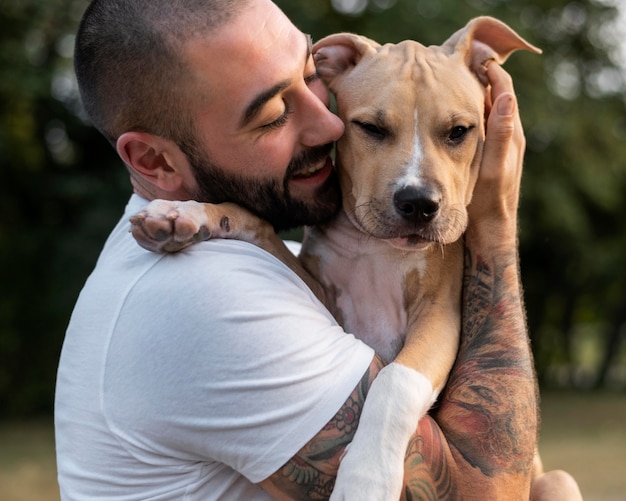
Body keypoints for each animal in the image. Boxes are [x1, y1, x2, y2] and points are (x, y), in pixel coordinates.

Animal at [132, 17, 540, 498]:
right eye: (369, 128)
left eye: (460, 131)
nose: (419, 203)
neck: (376, 247)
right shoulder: (323, 297)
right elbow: (254, 219)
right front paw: (185, 212)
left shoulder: (440, 315)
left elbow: (395, 378)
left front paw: (366, 477)